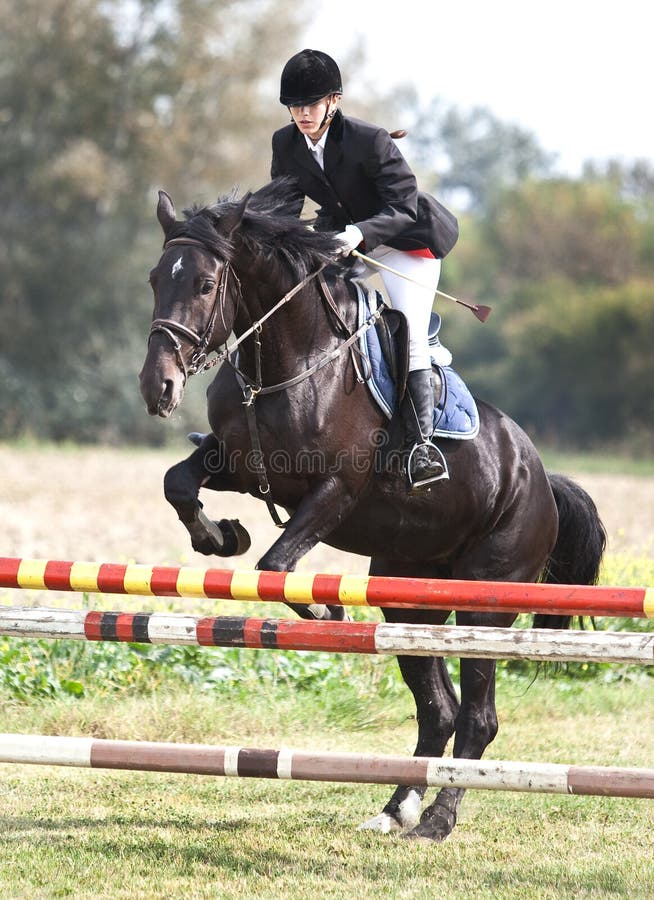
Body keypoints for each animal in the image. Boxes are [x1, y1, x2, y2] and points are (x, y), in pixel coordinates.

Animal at [141, 181, 608, 844]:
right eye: (156, 278)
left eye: (206, 284)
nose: (157, 388)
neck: (284, 359)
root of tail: (541, 476)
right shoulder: (238, 463)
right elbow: (179, 483)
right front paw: (219, 536)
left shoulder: (335, 490)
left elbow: (275, 565)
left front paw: (325, 608)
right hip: (408, 597)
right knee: (439, 710)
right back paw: (396, 809)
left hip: (485, 604)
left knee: (478, 716)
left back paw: (436, 820)